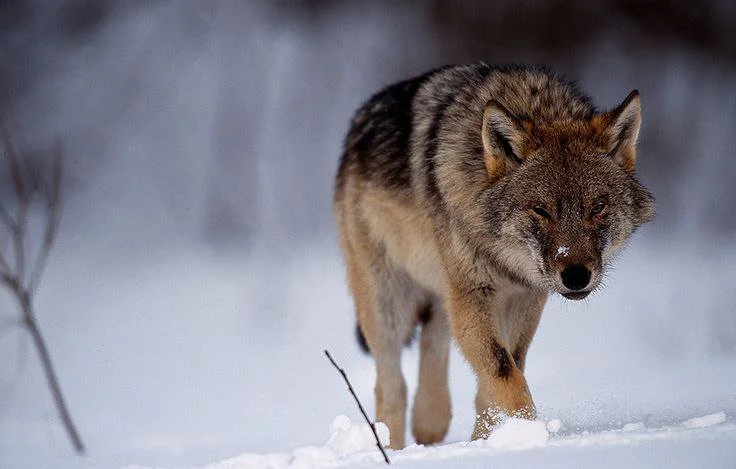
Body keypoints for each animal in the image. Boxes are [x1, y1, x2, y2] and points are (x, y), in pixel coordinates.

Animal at [334, 64, 655, 449]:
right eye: (541, 211)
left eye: (597, 208)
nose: (576, 276)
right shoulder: (474, 293)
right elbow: (504, 373)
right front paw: (526, 436)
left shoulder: (524, 297)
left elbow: (502, 375)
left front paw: (490, 441)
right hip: (389, 302)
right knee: (391, 385)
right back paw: (393, 448)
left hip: (444, 295)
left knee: (434, 348)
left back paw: (430, 423)